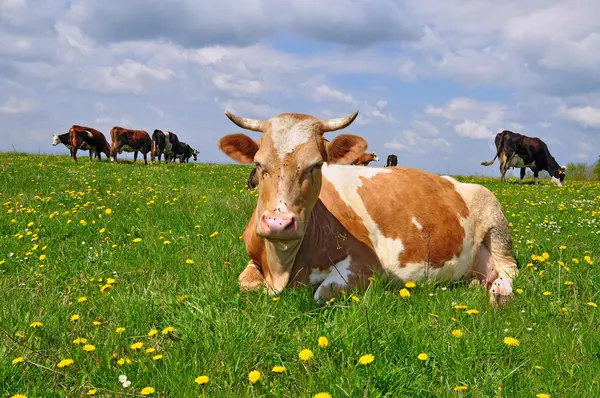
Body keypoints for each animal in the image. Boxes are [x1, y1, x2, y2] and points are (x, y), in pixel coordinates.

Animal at [218, 110, 516, 306]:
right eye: (258, 163)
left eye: (316, 164)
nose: (278, 223)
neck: (282, 267)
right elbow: (243, 283)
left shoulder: (366, 264)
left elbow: (321, 294)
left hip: (495, 220)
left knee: (509, 269)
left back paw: (500, 294)